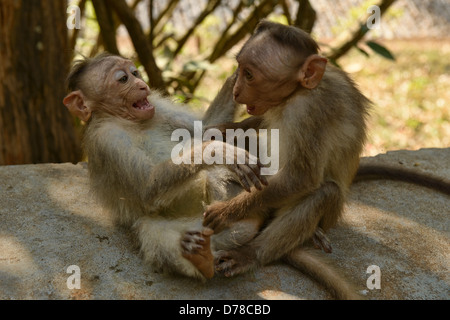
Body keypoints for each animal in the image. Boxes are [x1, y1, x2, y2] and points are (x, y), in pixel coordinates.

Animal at [63, 53, 268, 282]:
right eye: (123, 79)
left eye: (135, 73)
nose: (142, 85)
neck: (127, 120)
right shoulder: (107, 139)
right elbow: (147, 189)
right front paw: (217, 151)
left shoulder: (157, 107)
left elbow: (207, 127)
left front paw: (241, 69)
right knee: (151, 230)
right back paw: (201, 255)